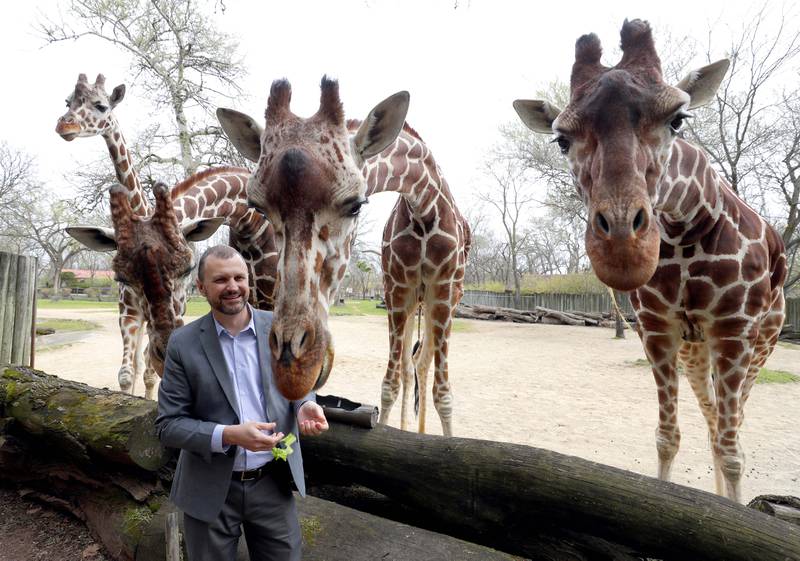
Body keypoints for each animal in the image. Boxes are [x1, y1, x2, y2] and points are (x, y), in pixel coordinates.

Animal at [56, 73, 152, 394]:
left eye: (101, 105)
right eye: (68, 101)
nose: (64, 126)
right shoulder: (128, 311)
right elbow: (126, 374)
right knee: (140, 364)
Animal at [216, 76, 472, 434]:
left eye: (356, 204)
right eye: (258, 207)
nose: (294, 371)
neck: (423, 208)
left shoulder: (445, 291)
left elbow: (443, 394)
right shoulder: (396, 291)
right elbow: (391, 384)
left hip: (437, 299)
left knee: (422, 364)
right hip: (412, 300)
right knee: (413, 364)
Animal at [516, 18, 784, 504]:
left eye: (678, 118)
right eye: (562, 140)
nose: (624, 249)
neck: (685, 228)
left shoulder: (736, 330)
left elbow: (732, 449)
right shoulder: (657, 328)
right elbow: (667, 437)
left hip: (761, 345)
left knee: (730, 430)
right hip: (696, 349)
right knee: (712, 419)